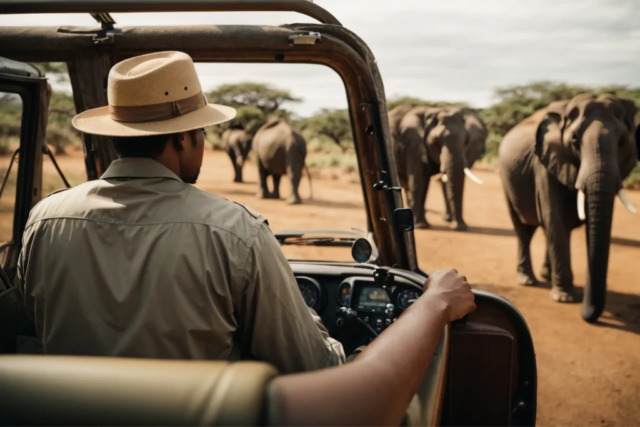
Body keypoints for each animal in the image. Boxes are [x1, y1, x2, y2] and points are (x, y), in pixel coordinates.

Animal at [498, 93, 639, 322]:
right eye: (574, 141)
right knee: (524, 230)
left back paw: (546, 275)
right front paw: (565, 298)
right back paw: (527, 280)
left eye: (622, 142)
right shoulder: (545, 163)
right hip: (507, 181)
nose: (588, 315)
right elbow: (556, 221)